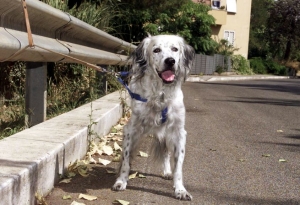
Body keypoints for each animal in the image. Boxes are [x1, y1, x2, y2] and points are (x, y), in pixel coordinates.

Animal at [112, 34, 195, 200]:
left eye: (175, 49)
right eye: (156, 50)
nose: (170, 61)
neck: (160, 96)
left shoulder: (178, 132)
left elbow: (178, 167)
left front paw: (180, 190)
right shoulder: (130, 130)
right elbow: (125, 159)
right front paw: (121, 180)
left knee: (166, 153)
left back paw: (167, 171)